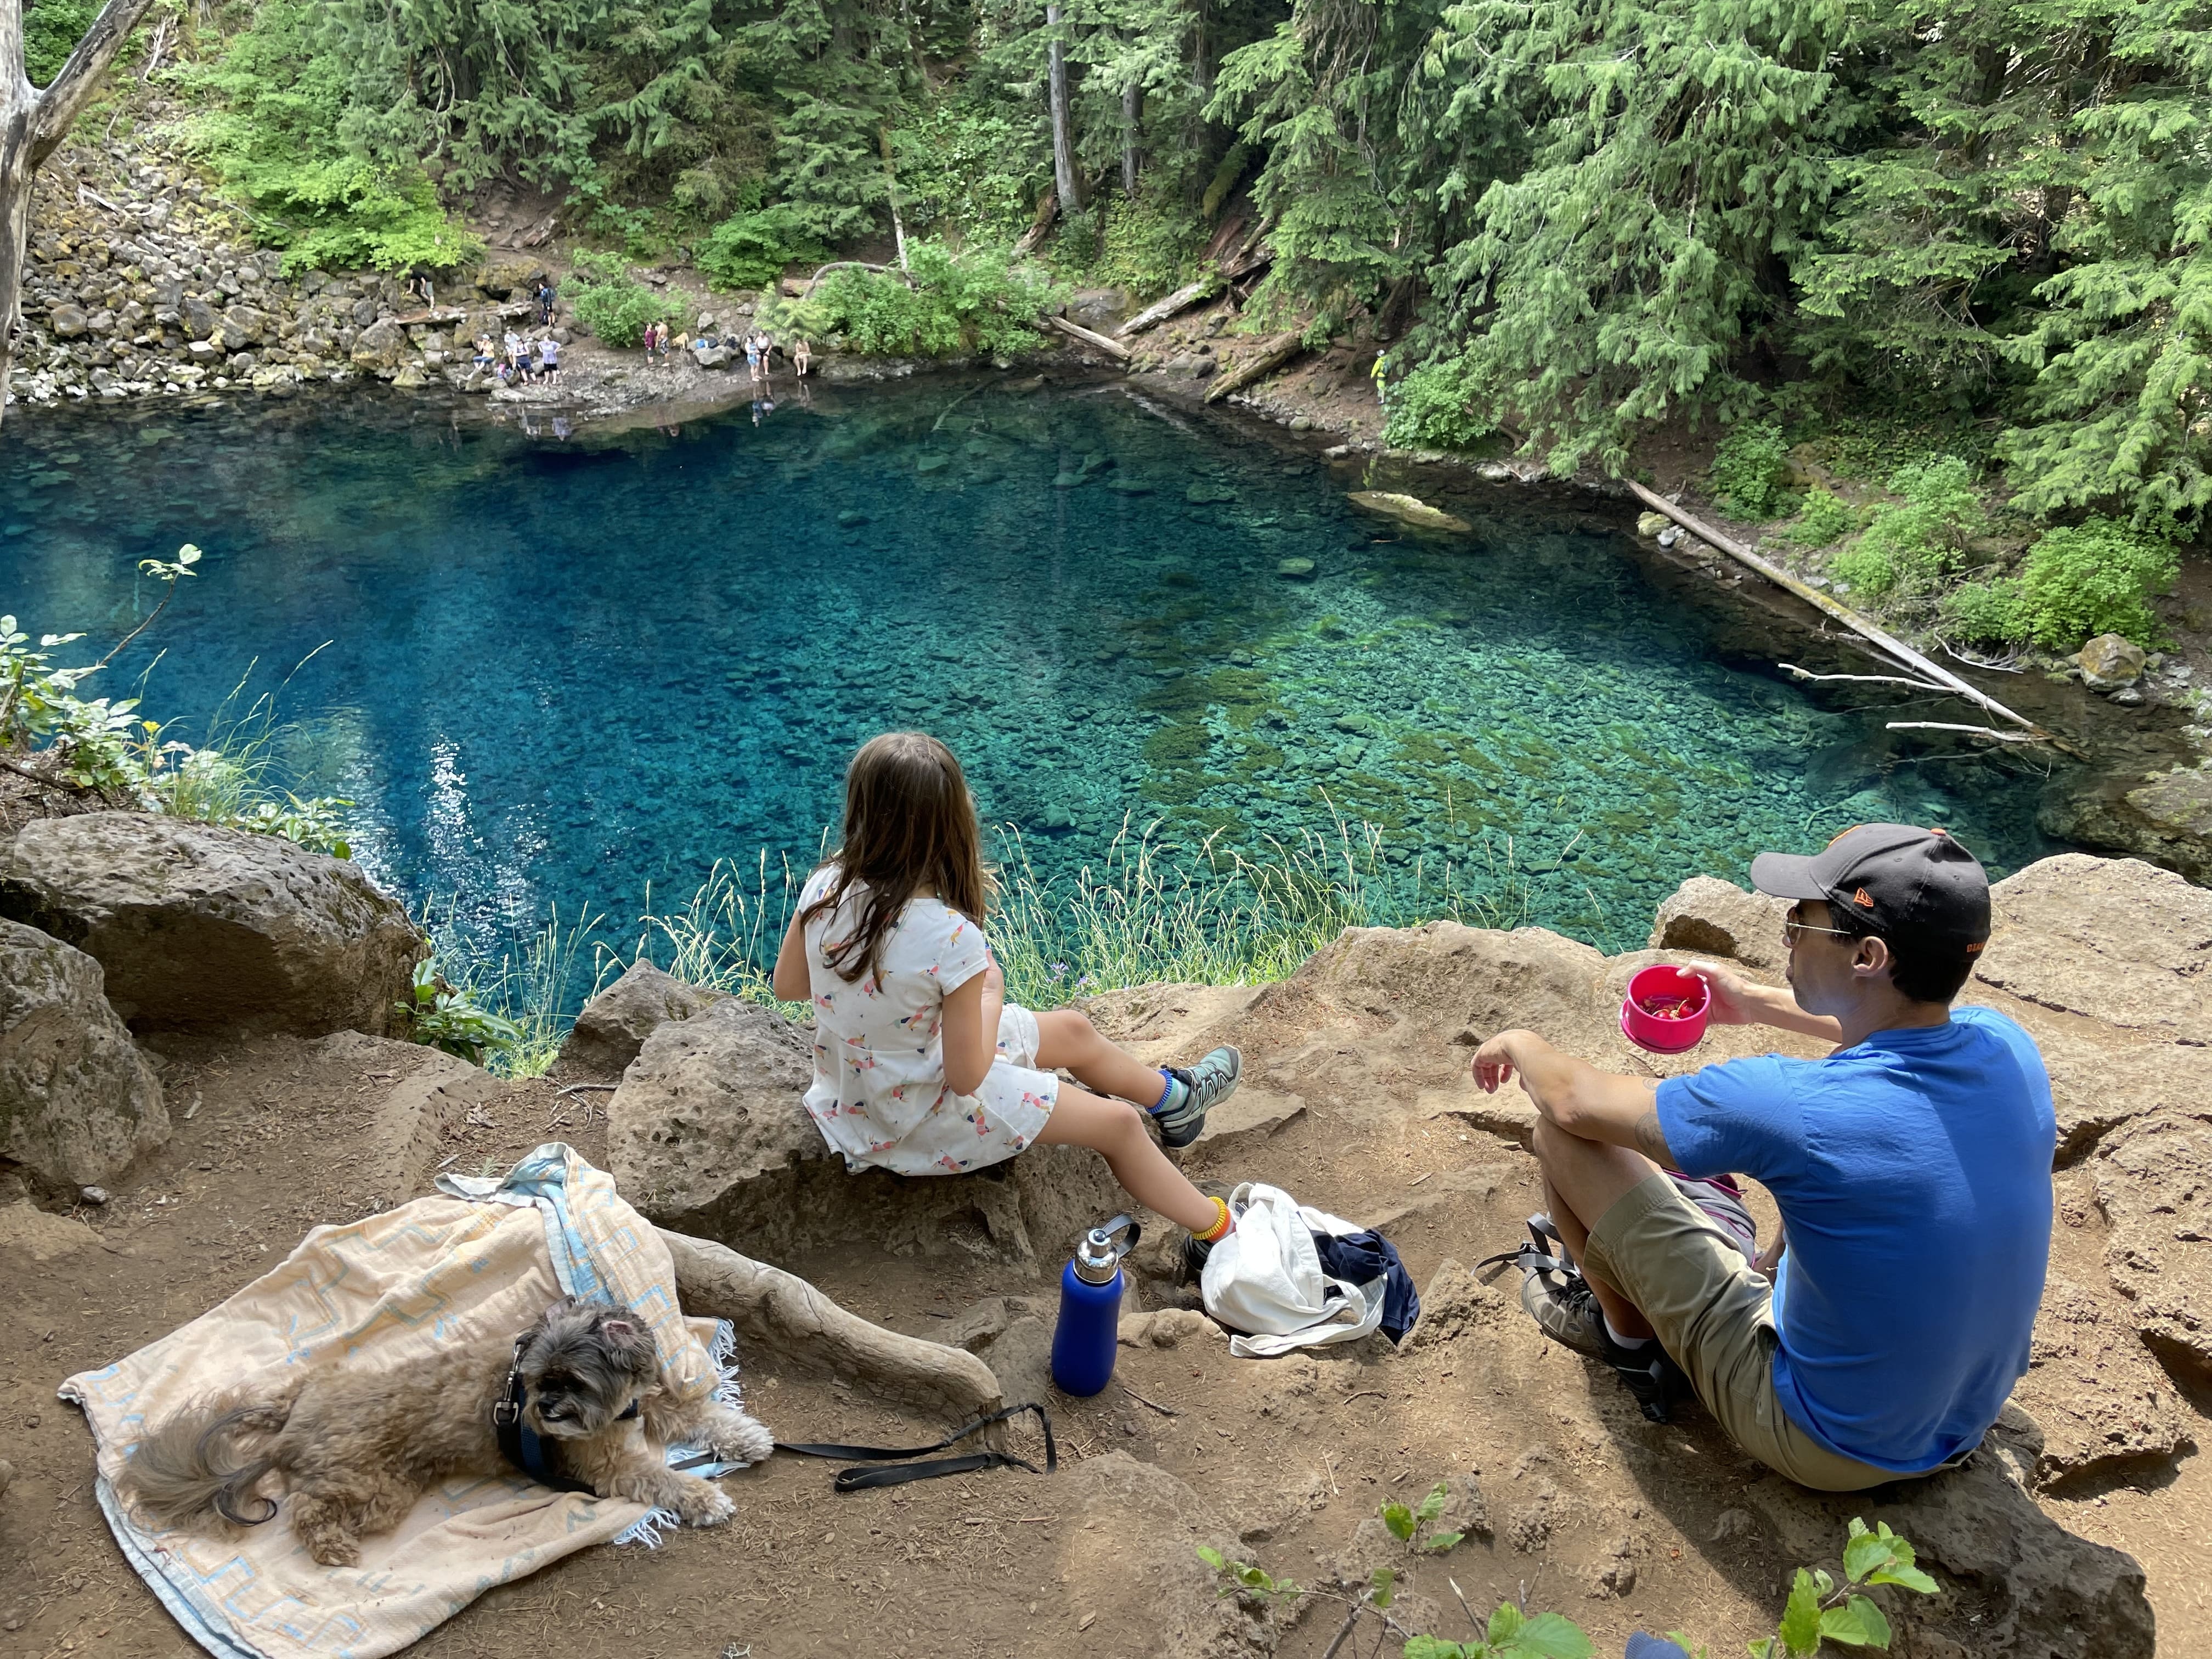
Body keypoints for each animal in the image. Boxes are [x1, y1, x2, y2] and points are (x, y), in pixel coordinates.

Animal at [123, 1300, 778, 1575]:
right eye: (537, 1380)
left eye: (573, 1383)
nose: (543, 1411)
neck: (616, 1412)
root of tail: (291, 1430)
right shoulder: (607, 1467)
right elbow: (661, 1476)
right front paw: (702, 1497)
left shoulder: (649, 1406)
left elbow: (701, 1413)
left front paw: (745, 1437)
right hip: (372, 1488)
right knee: (307, 1510)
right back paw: (332, 1548)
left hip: (327, 1397)